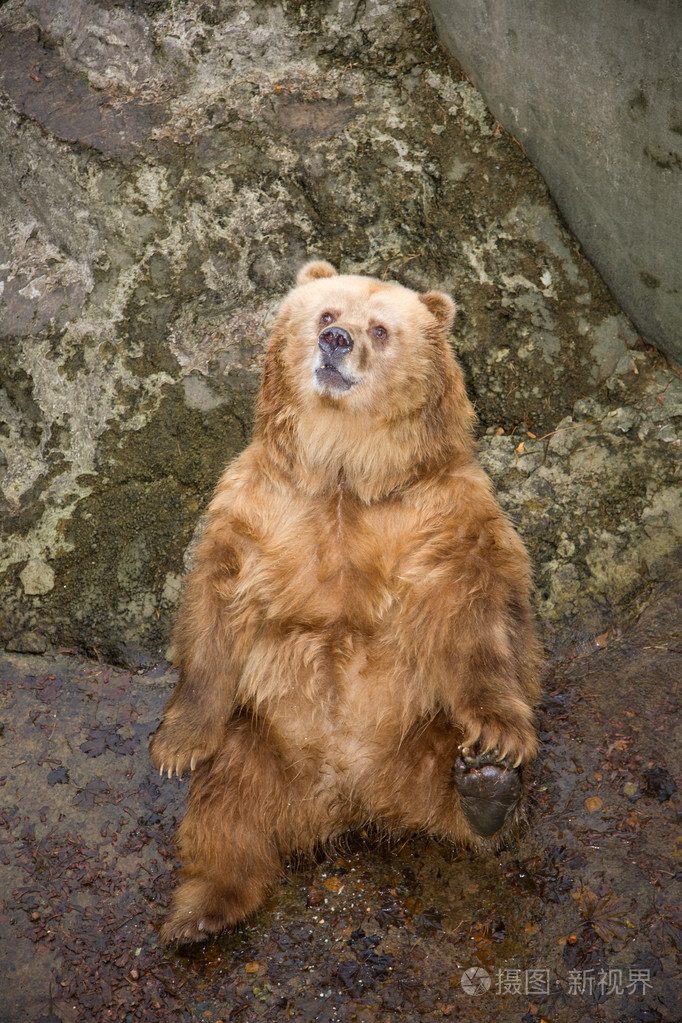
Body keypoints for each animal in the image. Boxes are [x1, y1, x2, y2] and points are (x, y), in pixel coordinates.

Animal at [150, 261, 543, 941]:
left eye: (380, 328)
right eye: (327, 313)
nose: (335, 342)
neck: (345, 471)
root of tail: (348, 798)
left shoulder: (438, 517)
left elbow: (475, 619)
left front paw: (501, 739)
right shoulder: (261, 507)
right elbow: (216, 610)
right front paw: (175, 747)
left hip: (424, 730)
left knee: (455, 790)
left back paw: (487, 793)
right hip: (258, 738)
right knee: (226, 808)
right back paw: (201, 912)